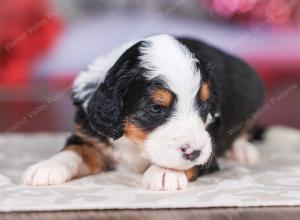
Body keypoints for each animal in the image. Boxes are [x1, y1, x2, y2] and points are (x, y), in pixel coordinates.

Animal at [22, 34, 262, 191]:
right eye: (155, 108)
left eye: (204, 104)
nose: (193, 152)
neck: (135, 143)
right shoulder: (90, 133)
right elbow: (75, 150)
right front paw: (47, 167)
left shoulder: (210, 146)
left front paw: (166, 172)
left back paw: (242, 150)